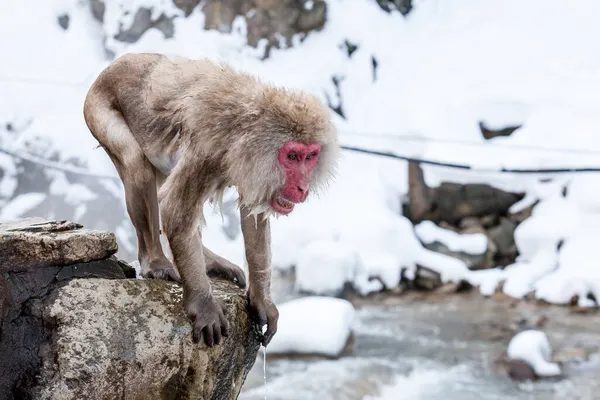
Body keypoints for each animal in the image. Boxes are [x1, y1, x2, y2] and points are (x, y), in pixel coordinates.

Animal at [82, 53, 340, 346]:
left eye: (310, 156)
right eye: (293, 156)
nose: (302, 187)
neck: (244, 128)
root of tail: (118, 62)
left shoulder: (253, 168)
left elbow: (253, 214)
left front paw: (262, 301)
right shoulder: (207, 148)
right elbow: (175, 209)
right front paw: (203, 303)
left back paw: (206, 259)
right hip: (99, 108)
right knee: (137, 164)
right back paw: (155, 262)